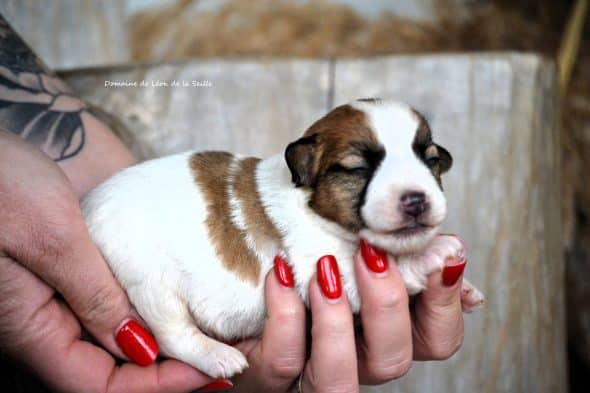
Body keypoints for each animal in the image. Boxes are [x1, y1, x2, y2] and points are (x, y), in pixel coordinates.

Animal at [82, 97, 486, 376]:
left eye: (430, 161)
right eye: (358, 168)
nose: (416, 200)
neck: (311, 204)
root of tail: (85, 205)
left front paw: (464, 290)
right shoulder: (324, 271)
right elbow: (388, 266)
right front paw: (434, 252)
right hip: (150, 282)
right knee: (171, 334)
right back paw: (218, 356)